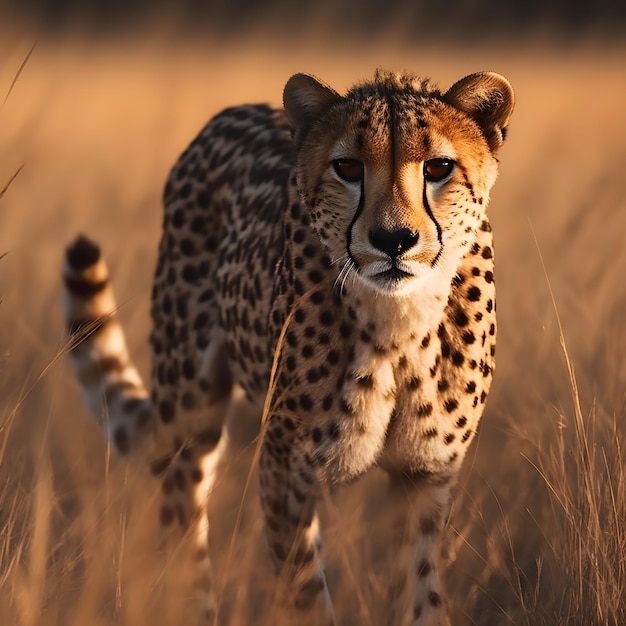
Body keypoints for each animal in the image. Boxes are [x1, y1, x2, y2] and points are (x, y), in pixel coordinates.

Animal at [62, 69, 512, 624]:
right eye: (347, 167)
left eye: (439, 167)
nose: (393, 239)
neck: (399, 325)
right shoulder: (284, 470)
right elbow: (306, 598)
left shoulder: (423, 479)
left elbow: (419, 599)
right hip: (190, 415)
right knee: (182, 524)